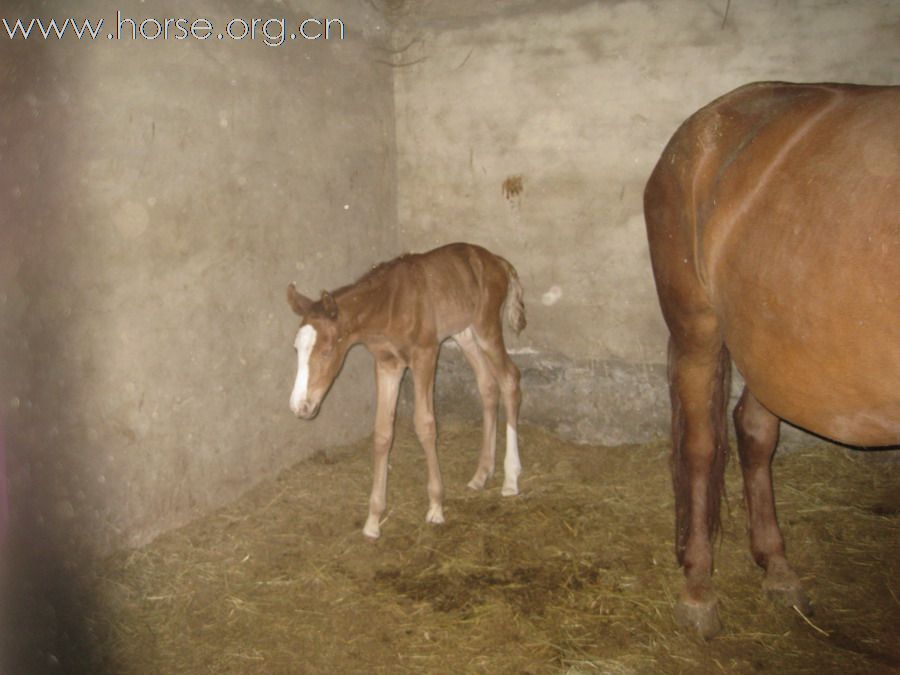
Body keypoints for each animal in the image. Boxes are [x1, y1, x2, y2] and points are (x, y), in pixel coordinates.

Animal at [286, 243, 528, 540]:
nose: (300, 406)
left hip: (487, 328)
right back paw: (481, 474)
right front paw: (373, 520)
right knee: (488, 386)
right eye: (296, 349)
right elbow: (382, 433)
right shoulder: (387, 364)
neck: (388, 305)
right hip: (465, 333)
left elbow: (425, 424)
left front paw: (436, 506)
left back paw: (511, 478)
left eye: (327, 351)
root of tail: (499, 261)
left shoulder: (425, 355)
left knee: (510, 379)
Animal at [644, 82, 896, 636]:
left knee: (754, 429)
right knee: (701, 445)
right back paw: (699, 588)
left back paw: (777, 567)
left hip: (772, 338)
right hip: (699, 331)